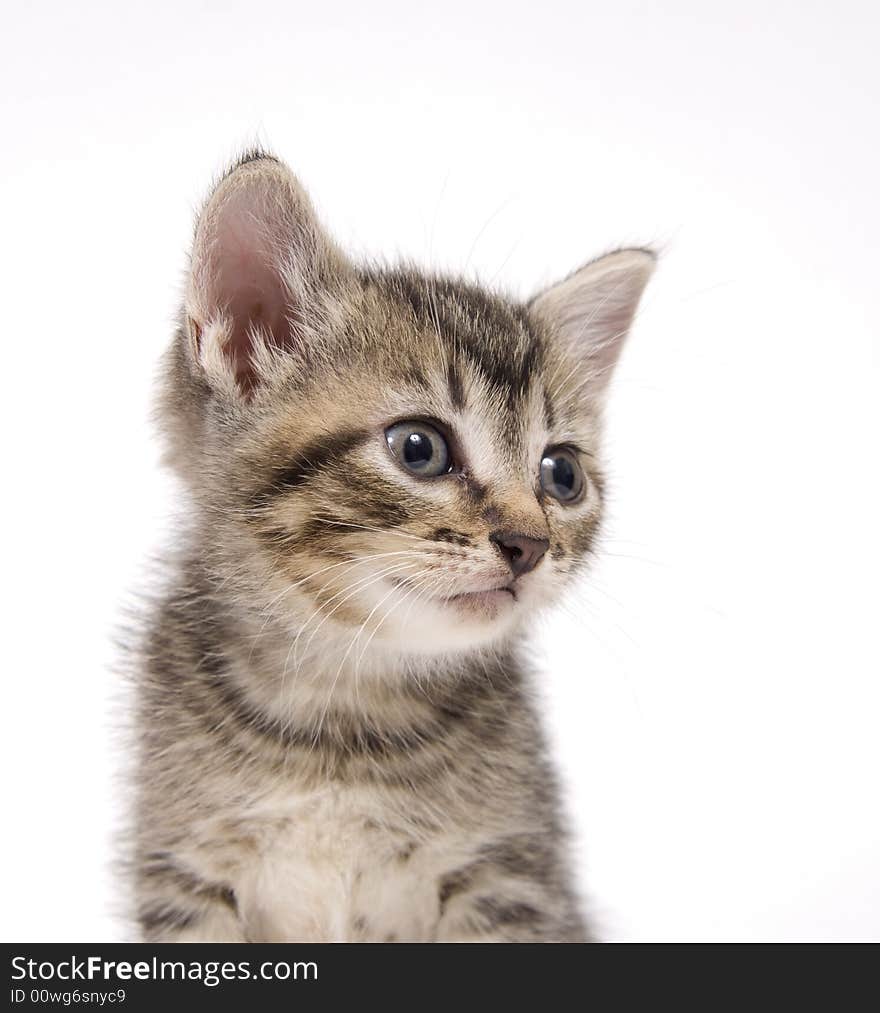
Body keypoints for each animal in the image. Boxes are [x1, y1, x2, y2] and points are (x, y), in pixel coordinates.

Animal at [132, 149, 652, 940]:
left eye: (561, 474)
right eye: (419, 448)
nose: (529, 543)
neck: (343, 712)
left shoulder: (512, 878)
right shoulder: (183, 876)